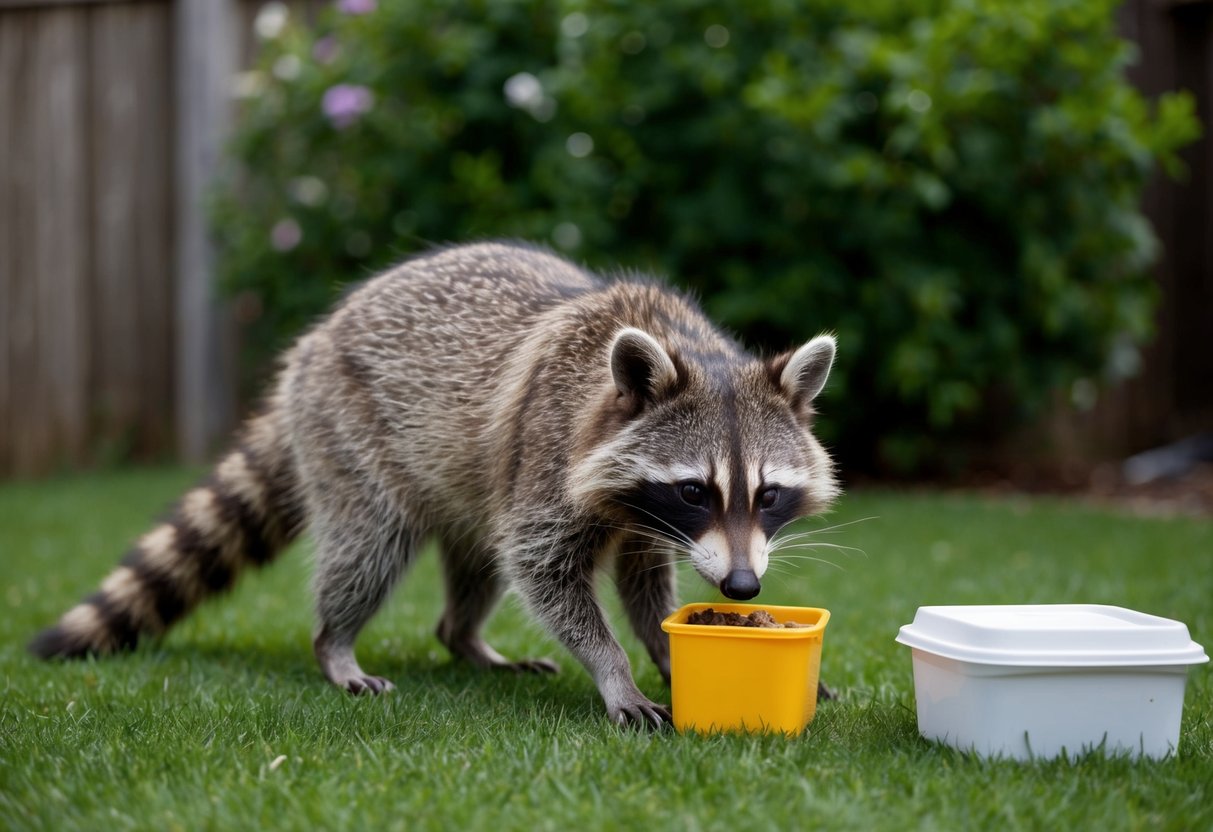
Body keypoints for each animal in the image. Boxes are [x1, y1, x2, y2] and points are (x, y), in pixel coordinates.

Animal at [30, 242, 839, 727]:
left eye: (767, 494)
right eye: (697, 490)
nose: (742, 586)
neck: (690, 346)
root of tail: (313, 343)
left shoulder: (640, 511)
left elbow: (645, 581)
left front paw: (670, 651)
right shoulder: (549, 454)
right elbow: (544, 571)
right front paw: (616, 671)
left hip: (465, 478)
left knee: (476, 559)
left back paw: (465, 638)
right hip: (348, 425)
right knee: (369, 546)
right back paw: (335, 645)